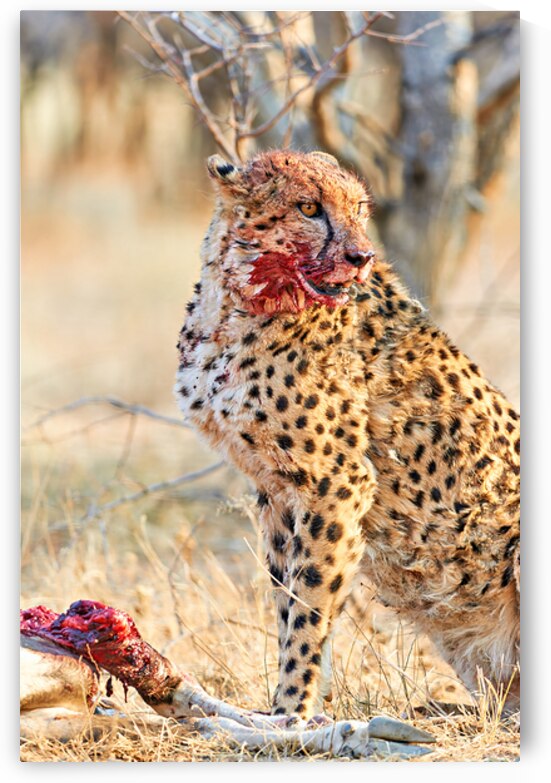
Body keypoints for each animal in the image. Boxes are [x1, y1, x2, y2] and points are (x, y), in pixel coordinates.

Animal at [175, 149, 520, 720]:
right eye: (309, 208)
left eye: (358, 207)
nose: (361, 255)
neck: (242, 301)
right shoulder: (276, 491)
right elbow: (286, 601)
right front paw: (288, 710)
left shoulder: (338, 482)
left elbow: (310, 607)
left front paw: (291, 714)